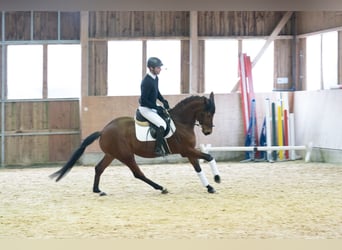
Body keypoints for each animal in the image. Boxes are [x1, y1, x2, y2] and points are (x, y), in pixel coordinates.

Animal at [50, 92, 222, 195]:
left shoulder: (189, 151)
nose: (208, 131)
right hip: (126, 155)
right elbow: (209, 157)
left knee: (99, 168)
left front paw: (209, 186)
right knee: (138, 173)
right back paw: (161, 187)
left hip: (112, 154)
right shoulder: (186, 150)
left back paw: (98, 190)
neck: (181, 122)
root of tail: (103, 130)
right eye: (208, 113)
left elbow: (198, 168)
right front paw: (217, 178)